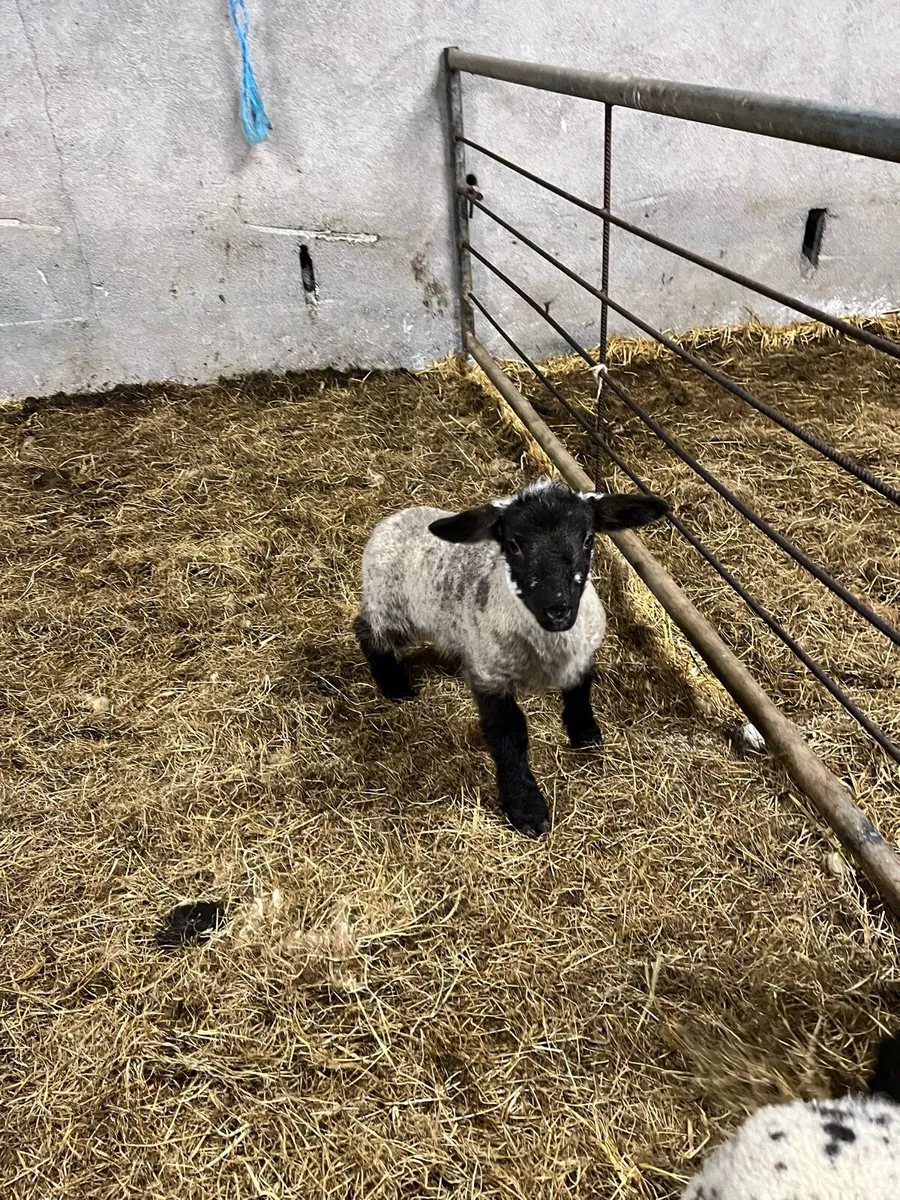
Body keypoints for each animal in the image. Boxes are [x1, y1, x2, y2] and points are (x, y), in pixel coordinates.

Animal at [353, 479, 669, 836]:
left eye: (588, 539)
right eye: (514, 546)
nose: (558, 608)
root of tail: (395, 518)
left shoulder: (581, 655)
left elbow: (581, 691)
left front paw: (585, 735)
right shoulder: (490, 674)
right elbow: (508, 733)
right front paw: (526, 807)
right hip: (393, 608)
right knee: (367, 629)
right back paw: (395, 686)